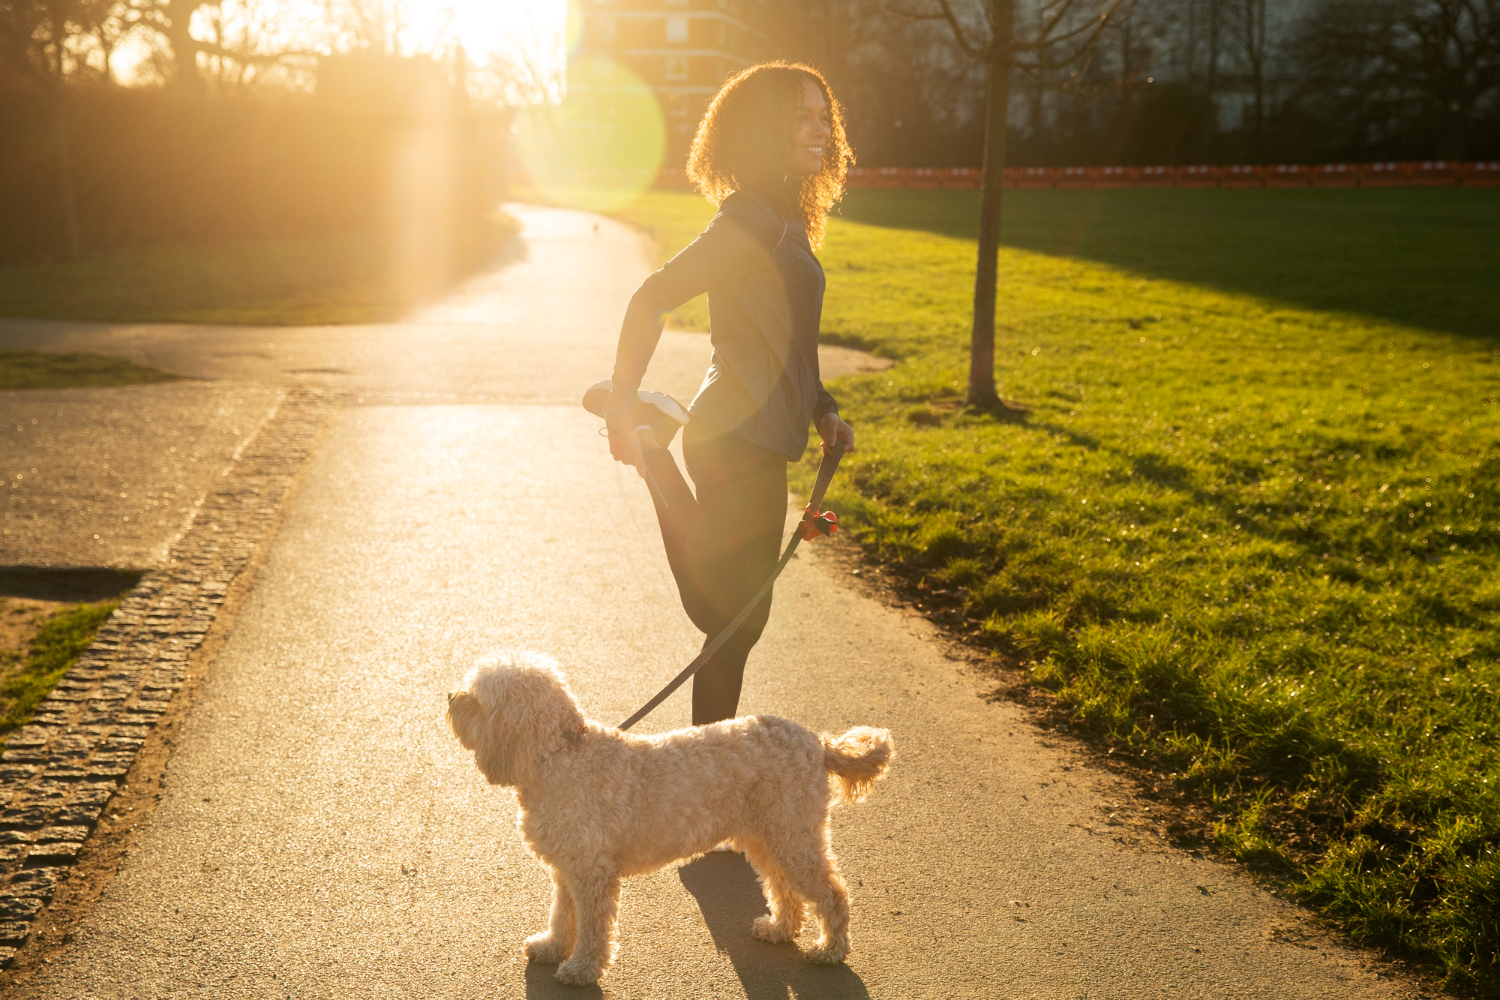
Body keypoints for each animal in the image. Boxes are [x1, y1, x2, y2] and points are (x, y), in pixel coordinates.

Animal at [444, 650, 888, 983]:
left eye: (478, 698)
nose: (450, 698)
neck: (561, 756)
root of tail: (818, 743)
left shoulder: (592, 874)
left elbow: (592, 927)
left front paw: (582, 969)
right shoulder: (568, 869)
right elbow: (562, 915)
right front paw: (552, 947)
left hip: (795, 839)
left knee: (832, 893)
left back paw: (830, 950)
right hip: (768, 839)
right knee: (784, 889)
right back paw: (780, 930)